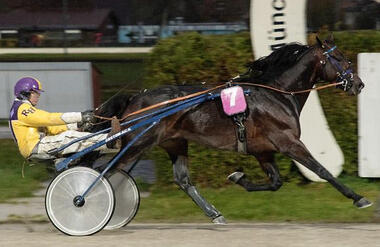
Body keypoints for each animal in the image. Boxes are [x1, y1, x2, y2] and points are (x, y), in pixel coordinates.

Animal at [93, 36, 370, 224]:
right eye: (341, 58)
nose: (359, 84)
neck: (276, 94)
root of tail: (135, 97)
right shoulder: (288, 142)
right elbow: (322, 170)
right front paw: (358, 198)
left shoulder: (263, 151)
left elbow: (275, 182)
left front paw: (238, 178)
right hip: (137, 143)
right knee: (104, 171)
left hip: (173, 143)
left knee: (182, 180)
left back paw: (215, 213)